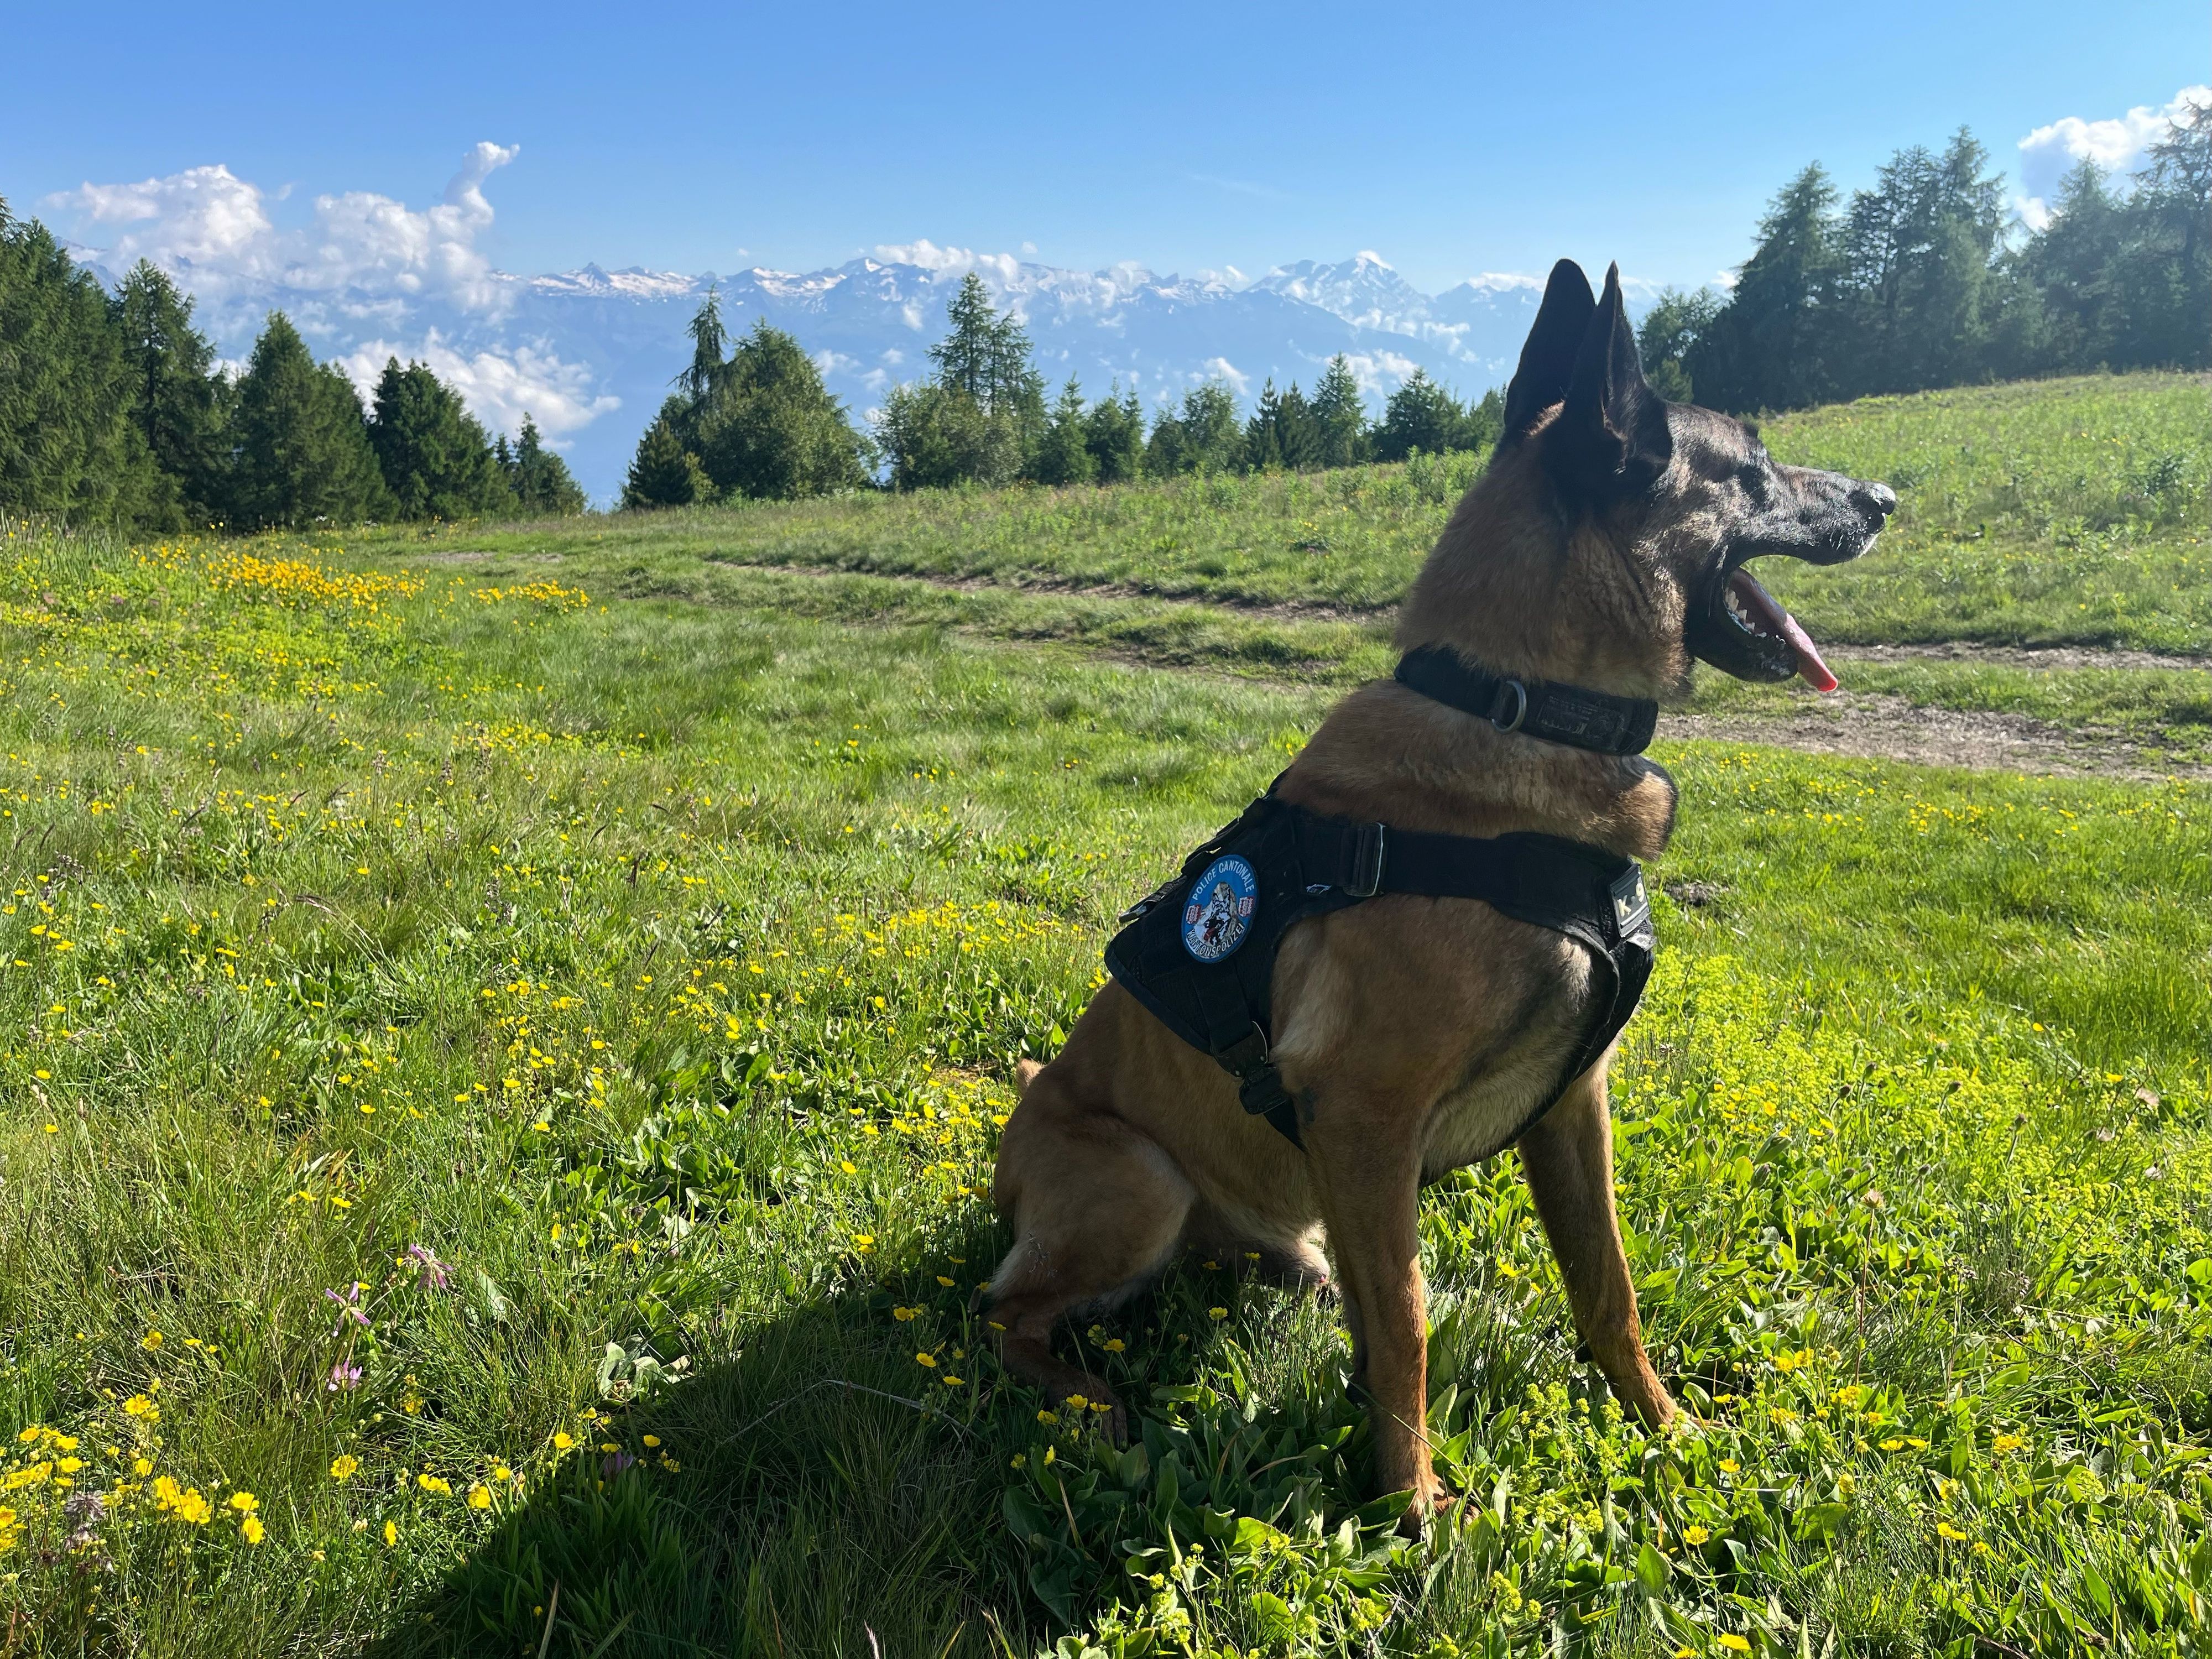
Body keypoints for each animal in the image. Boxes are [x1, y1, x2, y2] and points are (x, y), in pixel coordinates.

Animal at [987, 257, 1902, 1522]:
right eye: (1755, 466)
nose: (1887, 497)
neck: (1513, 707)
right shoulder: (1365, 1118)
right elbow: (1411, 1327)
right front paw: (1410, 1501)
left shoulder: (1572, 1107)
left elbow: (1606, 1287)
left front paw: (1661, 1430)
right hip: (1140, 1181)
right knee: (1005, 1314)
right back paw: (1086, 1400)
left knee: (1277, 1259)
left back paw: (1300, 1276)